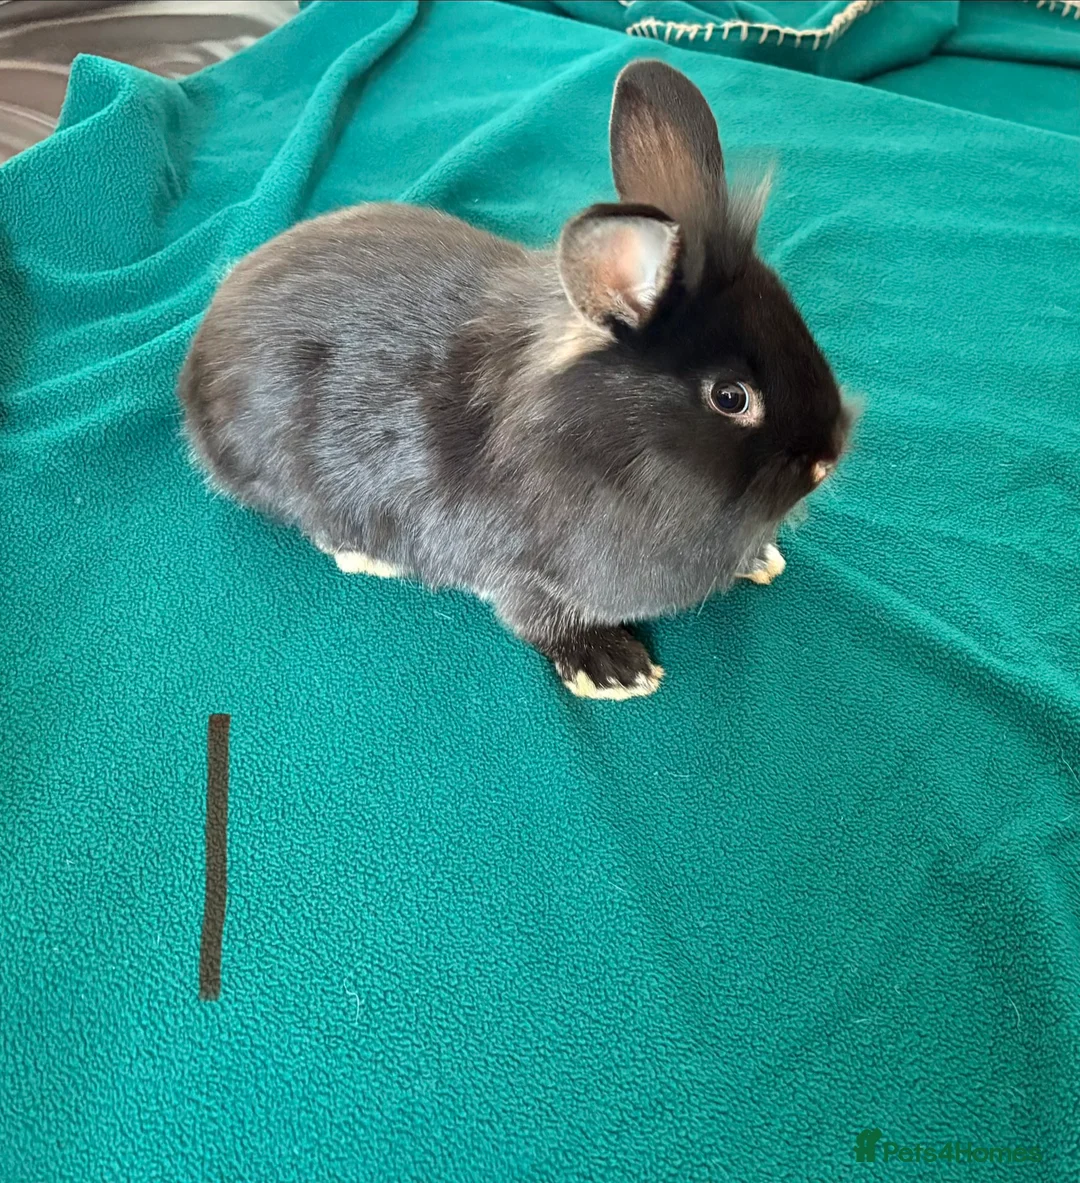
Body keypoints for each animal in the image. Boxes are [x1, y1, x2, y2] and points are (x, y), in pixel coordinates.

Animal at [178, 58, 851, 700]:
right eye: (731, 397)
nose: (828, 458)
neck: (603, 443)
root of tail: (197, 358)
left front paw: (761, 557)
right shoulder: (522, 571)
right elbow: (542, 618)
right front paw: (614, 670)